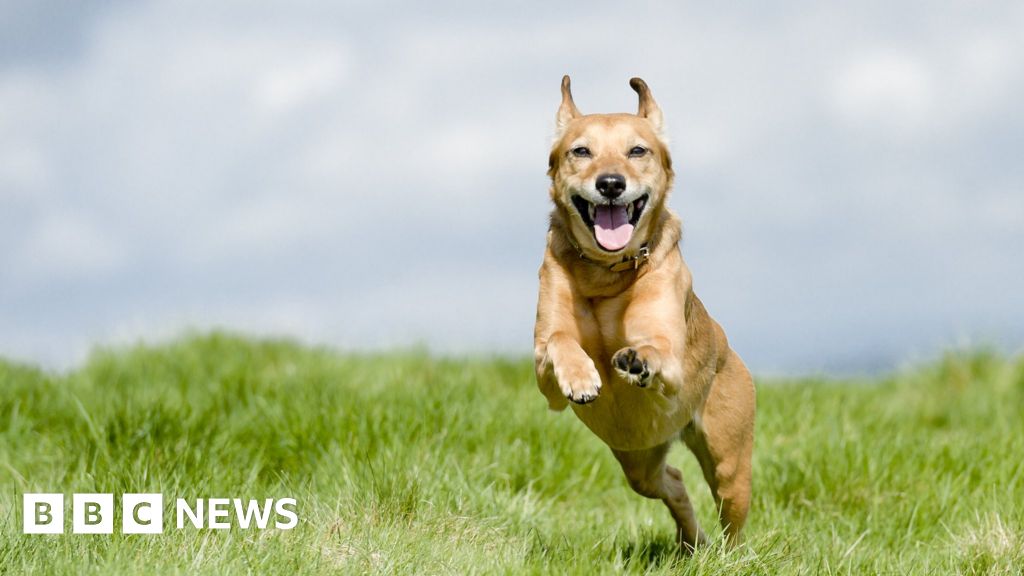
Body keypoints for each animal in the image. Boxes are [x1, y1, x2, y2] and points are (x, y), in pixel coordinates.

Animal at [532, 75, 757, 545]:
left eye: (638, 150)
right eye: (581, 151)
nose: (611, 183)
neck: (606, 272)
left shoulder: (669, 359)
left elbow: (656, 350)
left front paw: (636, 360)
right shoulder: (545, 379)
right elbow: (559, 339)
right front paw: (581, 377)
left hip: (729, 461)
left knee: (731, 515)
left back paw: (724, 551)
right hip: (639, 456)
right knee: (671, 481)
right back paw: (692, 541)